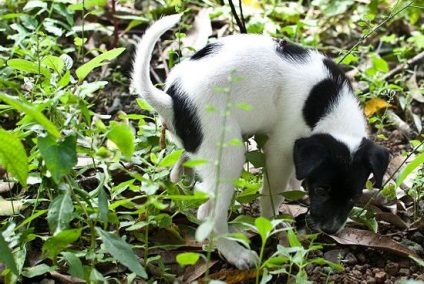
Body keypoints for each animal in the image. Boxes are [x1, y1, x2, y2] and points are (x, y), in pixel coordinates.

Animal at [131, 14, 390, 270]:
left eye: (354, 196)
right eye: (322, 189)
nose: (331, 230)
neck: (334, 115)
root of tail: (173, 100)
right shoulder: (279, 154)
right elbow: (272, 197)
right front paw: (271, 223)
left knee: (187, 175)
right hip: (228, 157)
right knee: (208, 214)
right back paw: (235, 253)